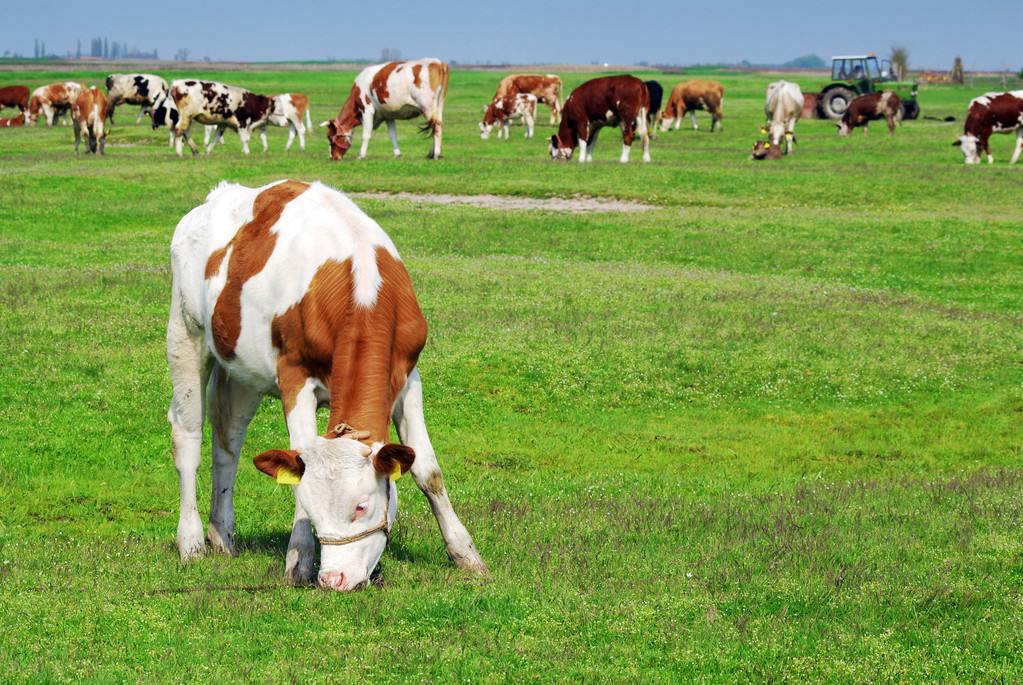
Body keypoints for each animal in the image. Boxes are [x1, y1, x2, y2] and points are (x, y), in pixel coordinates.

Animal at [167, 179, 486, 592]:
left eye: (361, 506)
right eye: (314, 512)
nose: (334, 578)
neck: (360, 290)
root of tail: (218, 195)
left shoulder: (407, 376)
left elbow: (428, 471)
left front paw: (466, 554)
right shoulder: (294, 376)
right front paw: (298, 561)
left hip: (241, 369)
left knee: (228, 442)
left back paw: (222, 535)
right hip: (184, 332)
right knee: (188, 438)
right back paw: (191, 541)